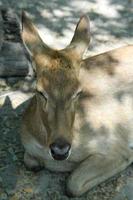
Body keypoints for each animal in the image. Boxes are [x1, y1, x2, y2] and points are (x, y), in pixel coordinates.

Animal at [20, 12, 133, 197]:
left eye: (78, 91)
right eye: (40, 91)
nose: (60, 149)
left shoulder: (115, 145)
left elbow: (73, 184)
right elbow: (31, 162)